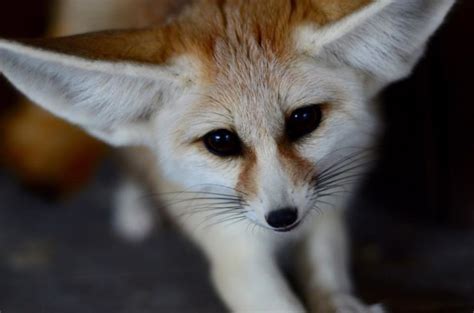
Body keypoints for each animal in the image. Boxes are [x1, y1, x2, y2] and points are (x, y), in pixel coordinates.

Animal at [1, 0, 458, 310]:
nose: (282, 218)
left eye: (304, 119)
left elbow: (328, 274)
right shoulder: (234, 250)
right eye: (221, 141)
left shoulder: (326, 206)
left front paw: (343, 303)